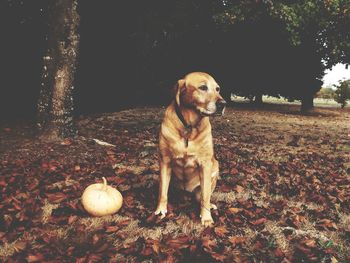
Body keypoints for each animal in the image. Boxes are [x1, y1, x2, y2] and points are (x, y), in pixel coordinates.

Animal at [154, 72, 226, 227]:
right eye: (203, 87)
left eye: (217, 89)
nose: (223, 103)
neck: (189, 126)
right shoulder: (165, 161)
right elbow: (162, 192)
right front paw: (160, 209)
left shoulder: (205, 164)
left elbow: (205, 196)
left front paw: (206, 217)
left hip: (215, 167)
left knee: (203, 196)